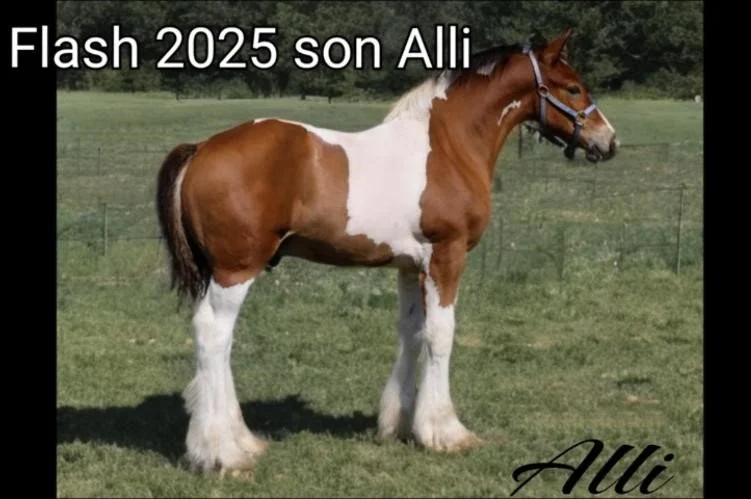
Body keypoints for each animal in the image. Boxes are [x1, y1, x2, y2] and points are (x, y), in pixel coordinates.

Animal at [155, 28, 618, 475]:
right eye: (573, 88)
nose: (608, 141)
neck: (448, 145)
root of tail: (201, 148)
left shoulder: (410, 267)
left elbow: (412, 333)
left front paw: (401, 424)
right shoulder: (447, 257)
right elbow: (441, 335)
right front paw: (446, 432)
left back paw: (240, 441)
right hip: (236, 269)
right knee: (214, 335)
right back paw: (222, 453)